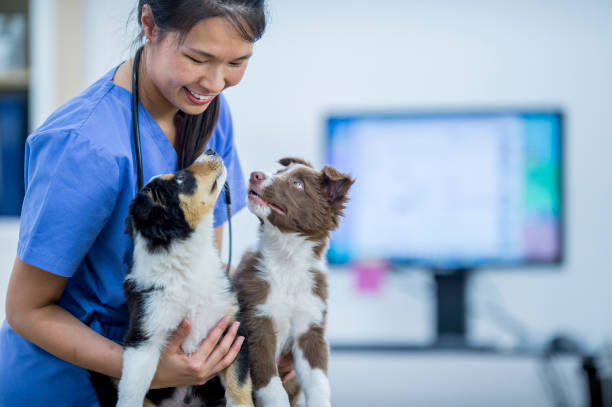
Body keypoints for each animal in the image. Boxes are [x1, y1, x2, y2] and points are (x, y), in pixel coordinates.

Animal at [117, 151, 253, 407]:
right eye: (180, 179)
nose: (211, 151)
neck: (186, 263)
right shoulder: (143, 336)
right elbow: (132, 389)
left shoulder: (231, 327)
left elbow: (239, 386)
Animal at [232, 158, 354, 407]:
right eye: (278, 172)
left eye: (297, 184)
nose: (255, 175)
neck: (286, 261)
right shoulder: (257, 323)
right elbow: (272, 386)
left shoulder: (310, 329)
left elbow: (318, 382)